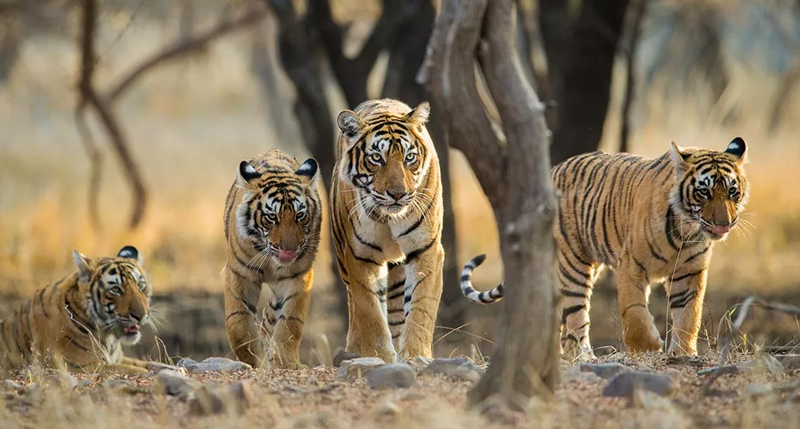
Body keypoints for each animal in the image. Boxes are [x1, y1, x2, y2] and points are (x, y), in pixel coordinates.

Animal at [0, 246, 153, 374]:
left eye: (141, 285)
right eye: (115, 289)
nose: (141, 315)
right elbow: (137, 370)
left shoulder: (119, 359)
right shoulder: (86, 366)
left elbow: (149, 364)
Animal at [223, 149, 322, 369]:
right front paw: (252, 359)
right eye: (271, 217)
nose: (290, 250)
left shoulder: (298, 276)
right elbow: (238, 322)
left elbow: (290, 322)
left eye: (300, 215)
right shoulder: (239, 273)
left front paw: (284, 362)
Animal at [331, 98, 444, 363]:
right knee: (354, 304)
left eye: (409, 157)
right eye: (376, 158)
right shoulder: (360, 256)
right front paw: (378, 356)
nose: (398, 194)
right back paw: (353, 349)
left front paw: (415, 355)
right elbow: (370, 311)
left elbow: (421, 305)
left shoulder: (426, 249)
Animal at [460, 138, 749, 358]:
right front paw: (648, 347)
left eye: (732, 192)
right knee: (575, 316)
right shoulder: (631, 266)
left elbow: (689, 314)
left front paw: (683, 353)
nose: (724, 223)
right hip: (573, 264)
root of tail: (553, 169)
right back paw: (583, 356)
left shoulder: (689, 273)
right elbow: (634, 313)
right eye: (704, 192)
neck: (685, 231)